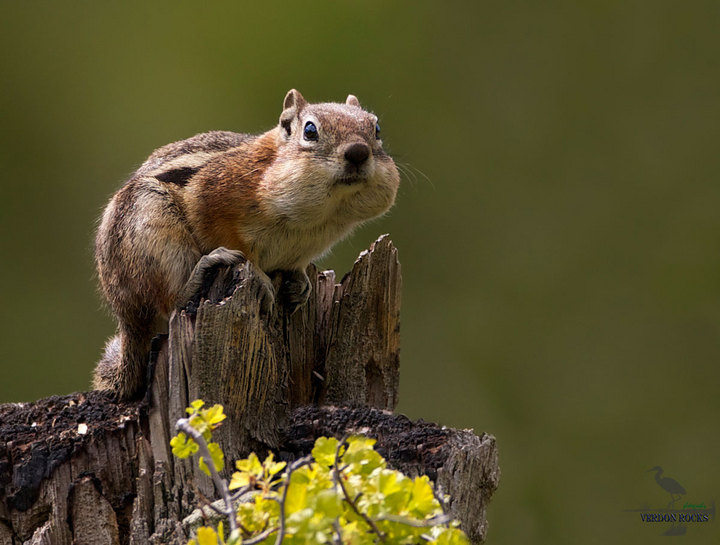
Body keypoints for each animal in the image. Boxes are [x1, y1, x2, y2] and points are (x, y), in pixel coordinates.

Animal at [93, 89, 400, 400]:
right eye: (310, 130)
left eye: (376, 129)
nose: (358, 152)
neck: (320, 216)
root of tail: (125, 317)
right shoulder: (210, 196)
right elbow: (232, 242)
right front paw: (261, 278)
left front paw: (301, 282)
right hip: (152, 226)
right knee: (170, 303)